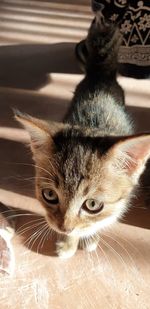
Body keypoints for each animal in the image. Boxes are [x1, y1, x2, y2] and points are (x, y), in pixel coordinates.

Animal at [15, 12, 150, 258]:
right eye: (50, 195)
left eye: (93, 205)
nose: (64, 227)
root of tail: (99, 75)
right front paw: (68, 242)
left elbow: (99, 222)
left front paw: (87, 237)